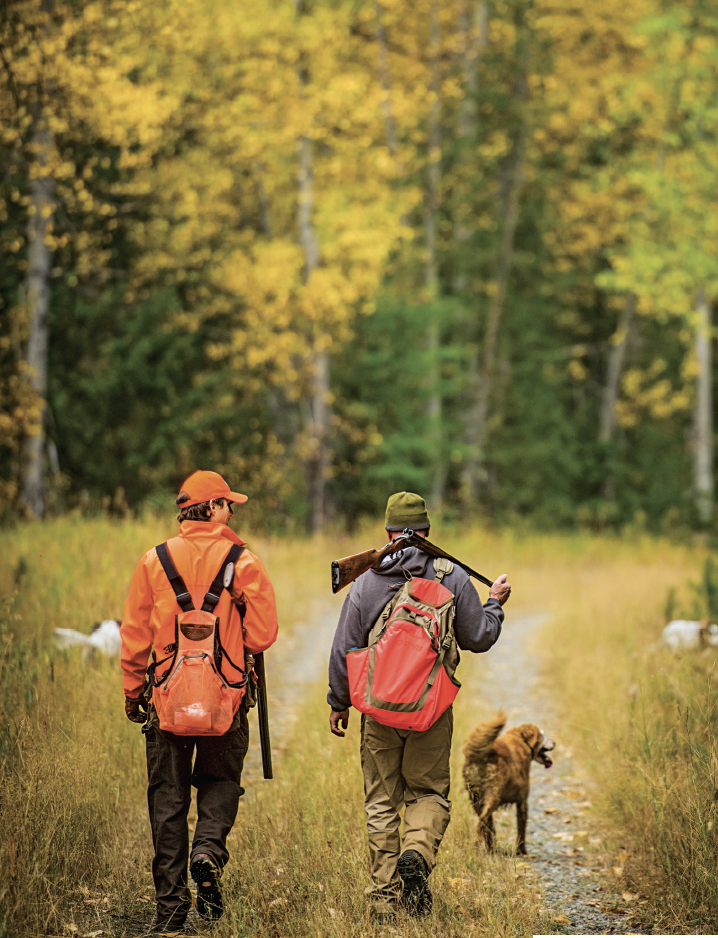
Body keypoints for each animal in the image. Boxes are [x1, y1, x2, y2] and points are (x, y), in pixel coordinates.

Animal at [462, 712, 556, 852]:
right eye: (543, 735)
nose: (554, 742)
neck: (521, 740)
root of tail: (484, 755)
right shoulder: (522, 802)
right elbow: (521, 831)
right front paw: (522, 851)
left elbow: (491, 827)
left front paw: (492, 848)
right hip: (492, 797)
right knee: (481, 823)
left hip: (476, 799)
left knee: (486, 825)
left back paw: (490, 848)